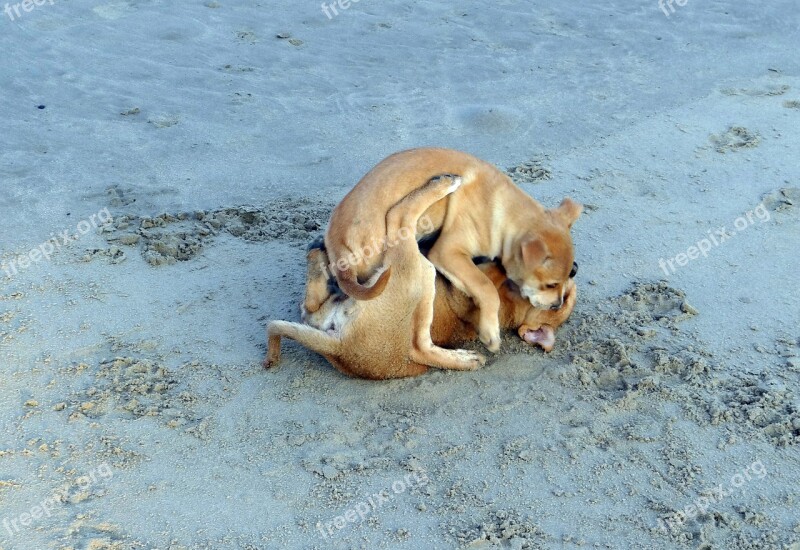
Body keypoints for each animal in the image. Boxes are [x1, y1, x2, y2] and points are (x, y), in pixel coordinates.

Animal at [318, 148, 580, 354]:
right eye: (551, 285)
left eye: (569, 276)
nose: (556, 305)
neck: (501, 210)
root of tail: (339, 252)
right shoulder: (448, 252)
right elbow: (485, 286)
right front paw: (491, 332)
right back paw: (443, 184)